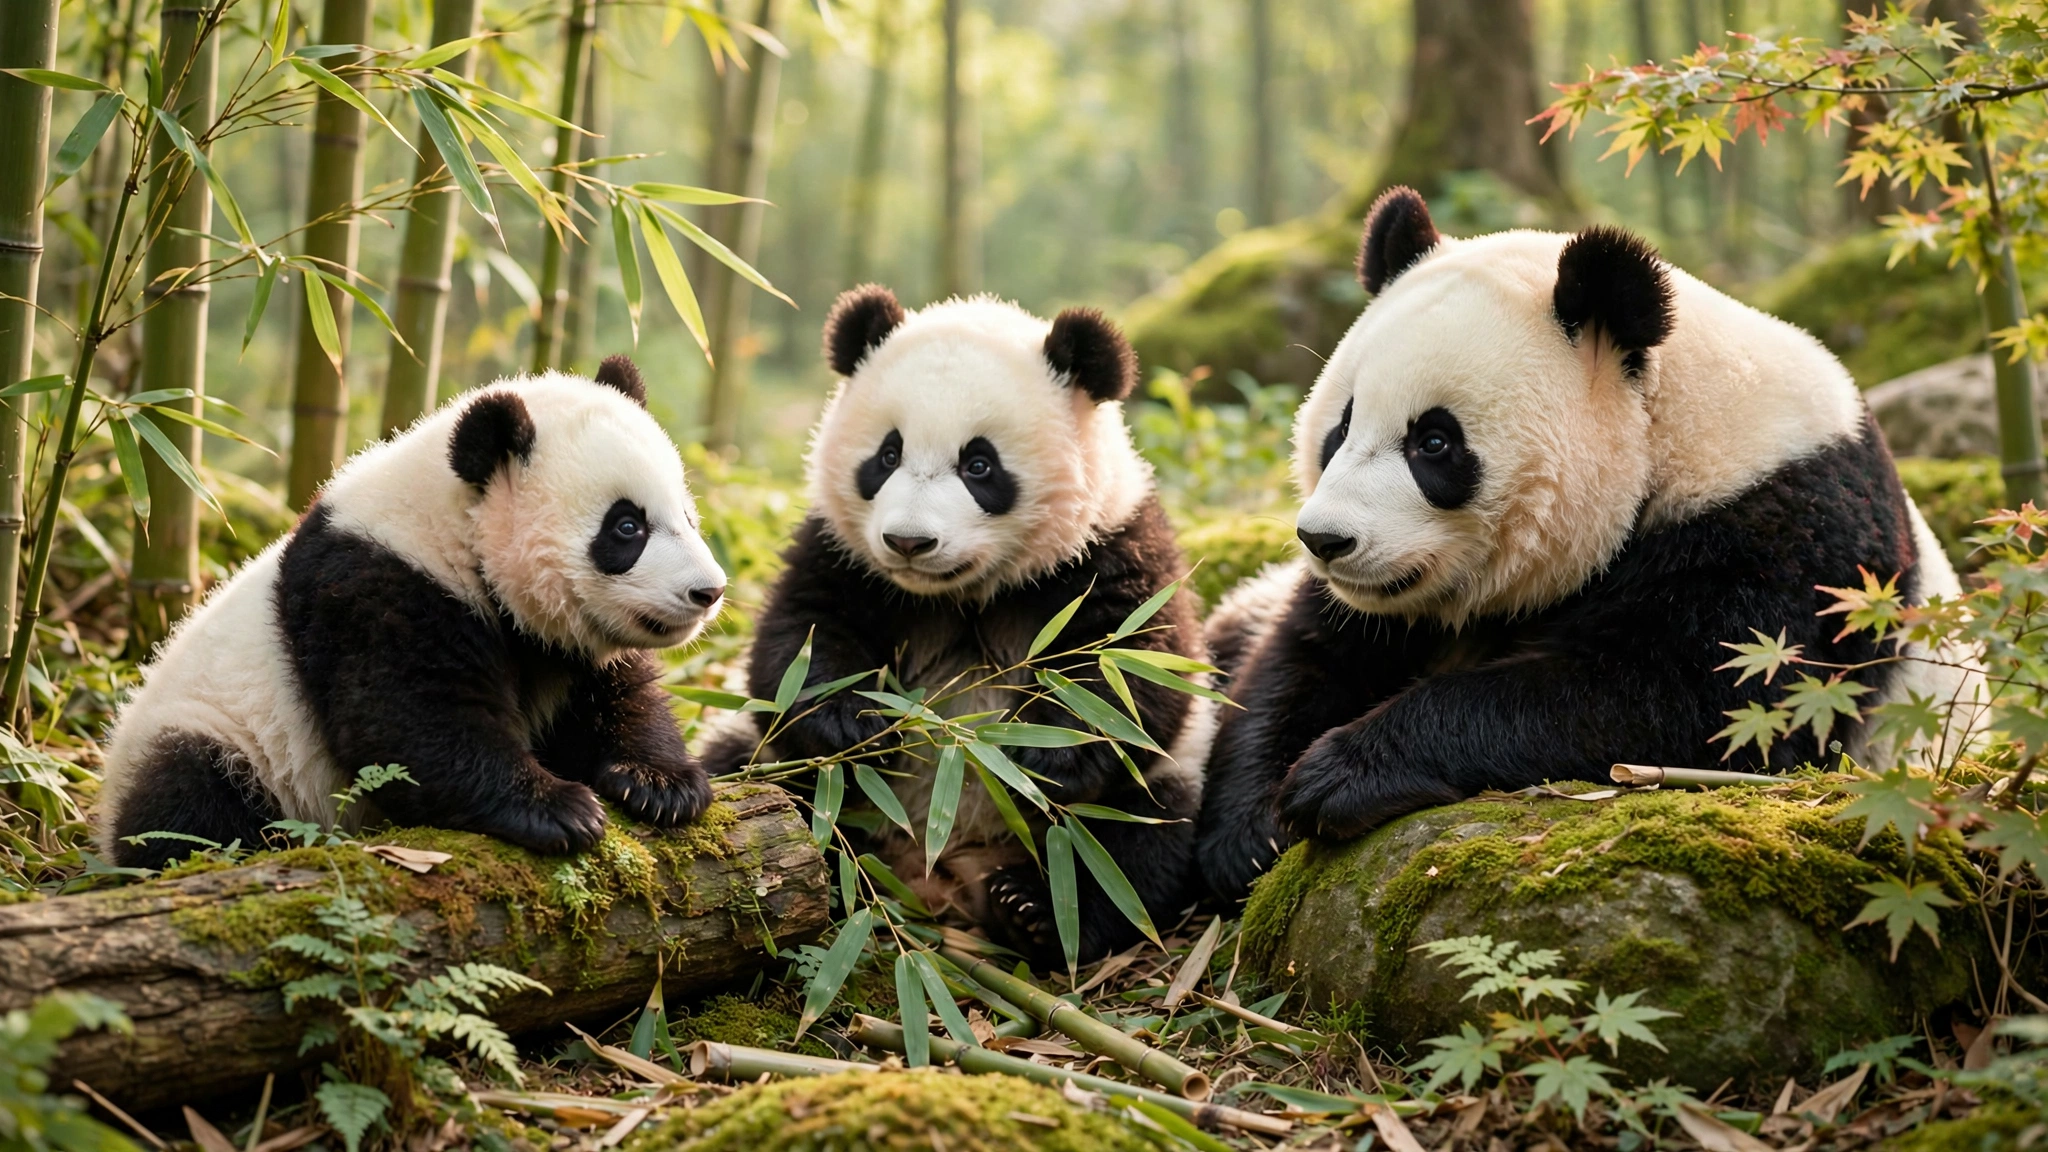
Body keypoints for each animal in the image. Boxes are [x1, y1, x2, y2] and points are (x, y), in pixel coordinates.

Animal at [99, 358, 728, 869]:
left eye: (688, 516)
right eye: (626, 527)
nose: (710, 591)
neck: (454, 530)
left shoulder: (561, 643)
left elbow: (618, 697)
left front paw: (660, 783)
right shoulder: (374, 591)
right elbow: (408, 724)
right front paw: (560, 809)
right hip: (220, 735)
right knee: (189, 801)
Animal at [704, 287, 1214, 963]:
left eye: (979, 465)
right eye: (887, 455)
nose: (908, 542)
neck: (959, 592)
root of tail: (939, 879)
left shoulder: (1113, 544)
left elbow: (1136, 669)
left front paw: (1043, 752)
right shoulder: (842, 552)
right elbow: (799, 641)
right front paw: (853, 721)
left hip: (1153, 791)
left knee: (1135, 845)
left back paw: (1030, 908)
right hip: (782, 777)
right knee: (749, 782)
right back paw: (829, 873)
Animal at [1196, 188, 1975, 903]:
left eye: (1434, 442)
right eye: (1341, 426)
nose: (1325, 539)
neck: (1679, 430)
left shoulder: (1789, 537)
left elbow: (1686, 706)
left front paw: (1341, 773)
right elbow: (1304, 659)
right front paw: (1251, 830)